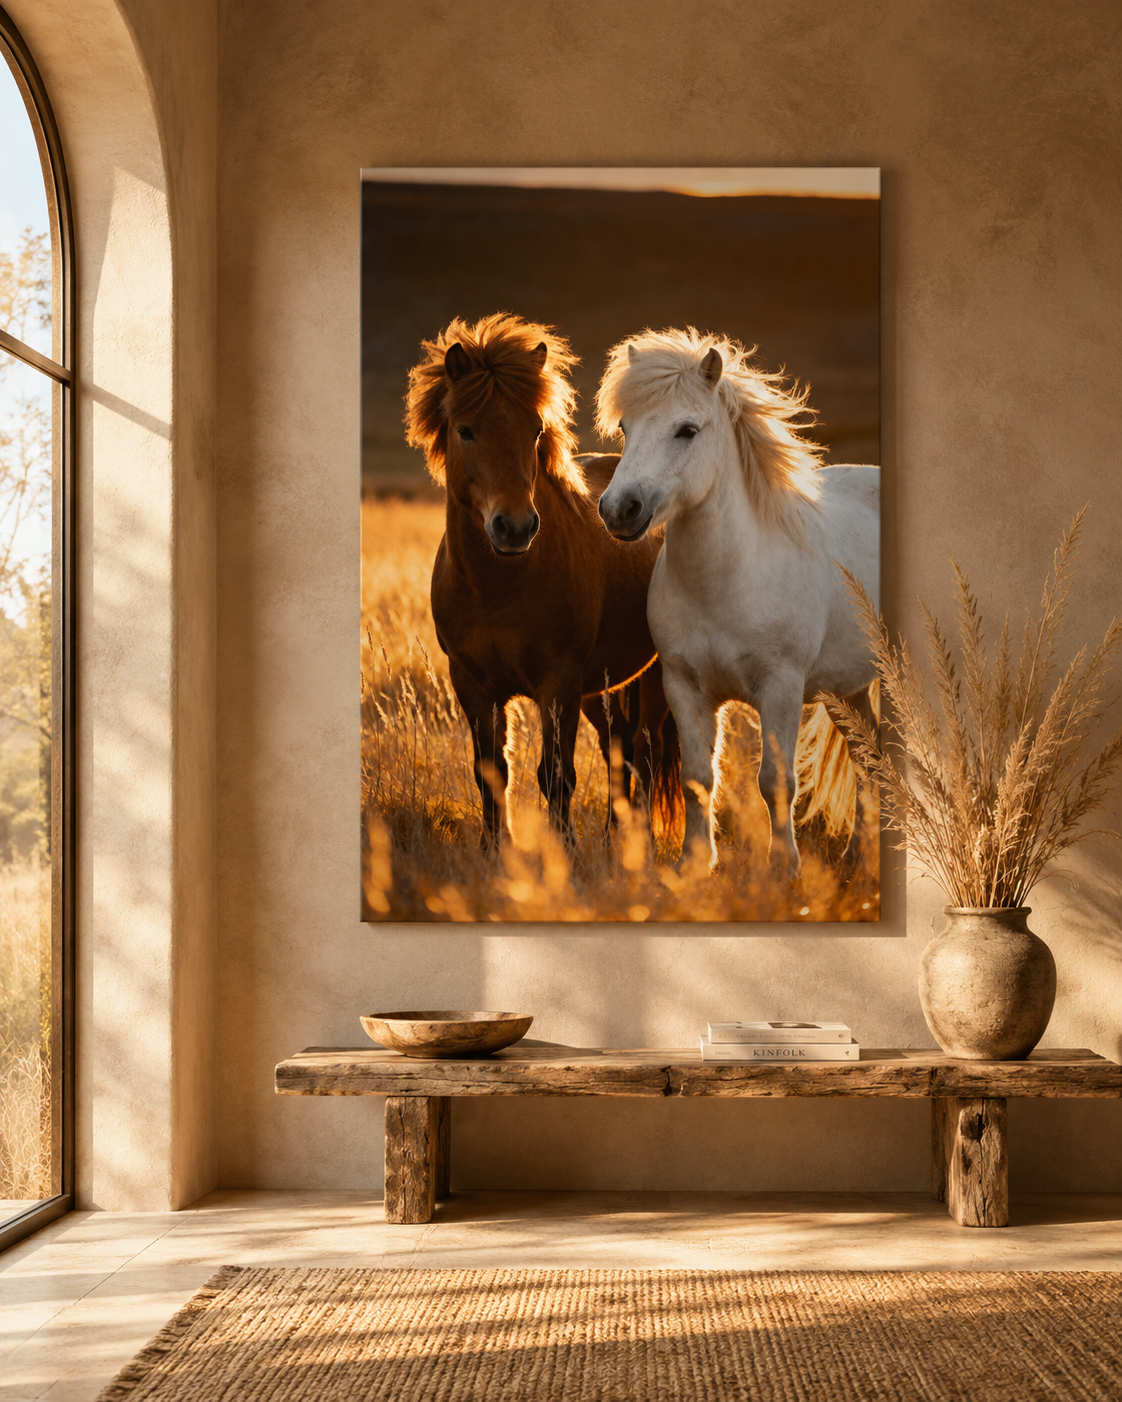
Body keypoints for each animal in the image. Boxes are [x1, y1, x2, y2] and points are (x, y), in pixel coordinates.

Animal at [404, 313, 680, 850]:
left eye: (535, 429)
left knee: (647, 750)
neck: (497, 588)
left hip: (650, 677)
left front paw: (565, 854)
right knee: (619, 749)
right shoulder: (473, 684)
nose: (514, 527)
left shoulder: (559, 684)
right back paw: (614, 842)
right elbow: (490, 772)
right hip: (602, 689)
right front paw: (494, 851)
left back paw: (643, 848)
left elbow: (556, 776)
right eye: (465, 431)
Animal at [595, 327, 879, 875]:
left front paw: (783, 869)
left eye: (687, 430)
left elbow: (776, 781)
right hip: (848, 691)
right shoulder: (685, 687)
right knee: (870, 759)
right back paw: (857, 858)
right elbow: (697, 779)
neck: (725, 584)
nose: (619, 510)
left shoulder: (781, 687)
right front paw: (693, 865)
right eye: (624, 427)